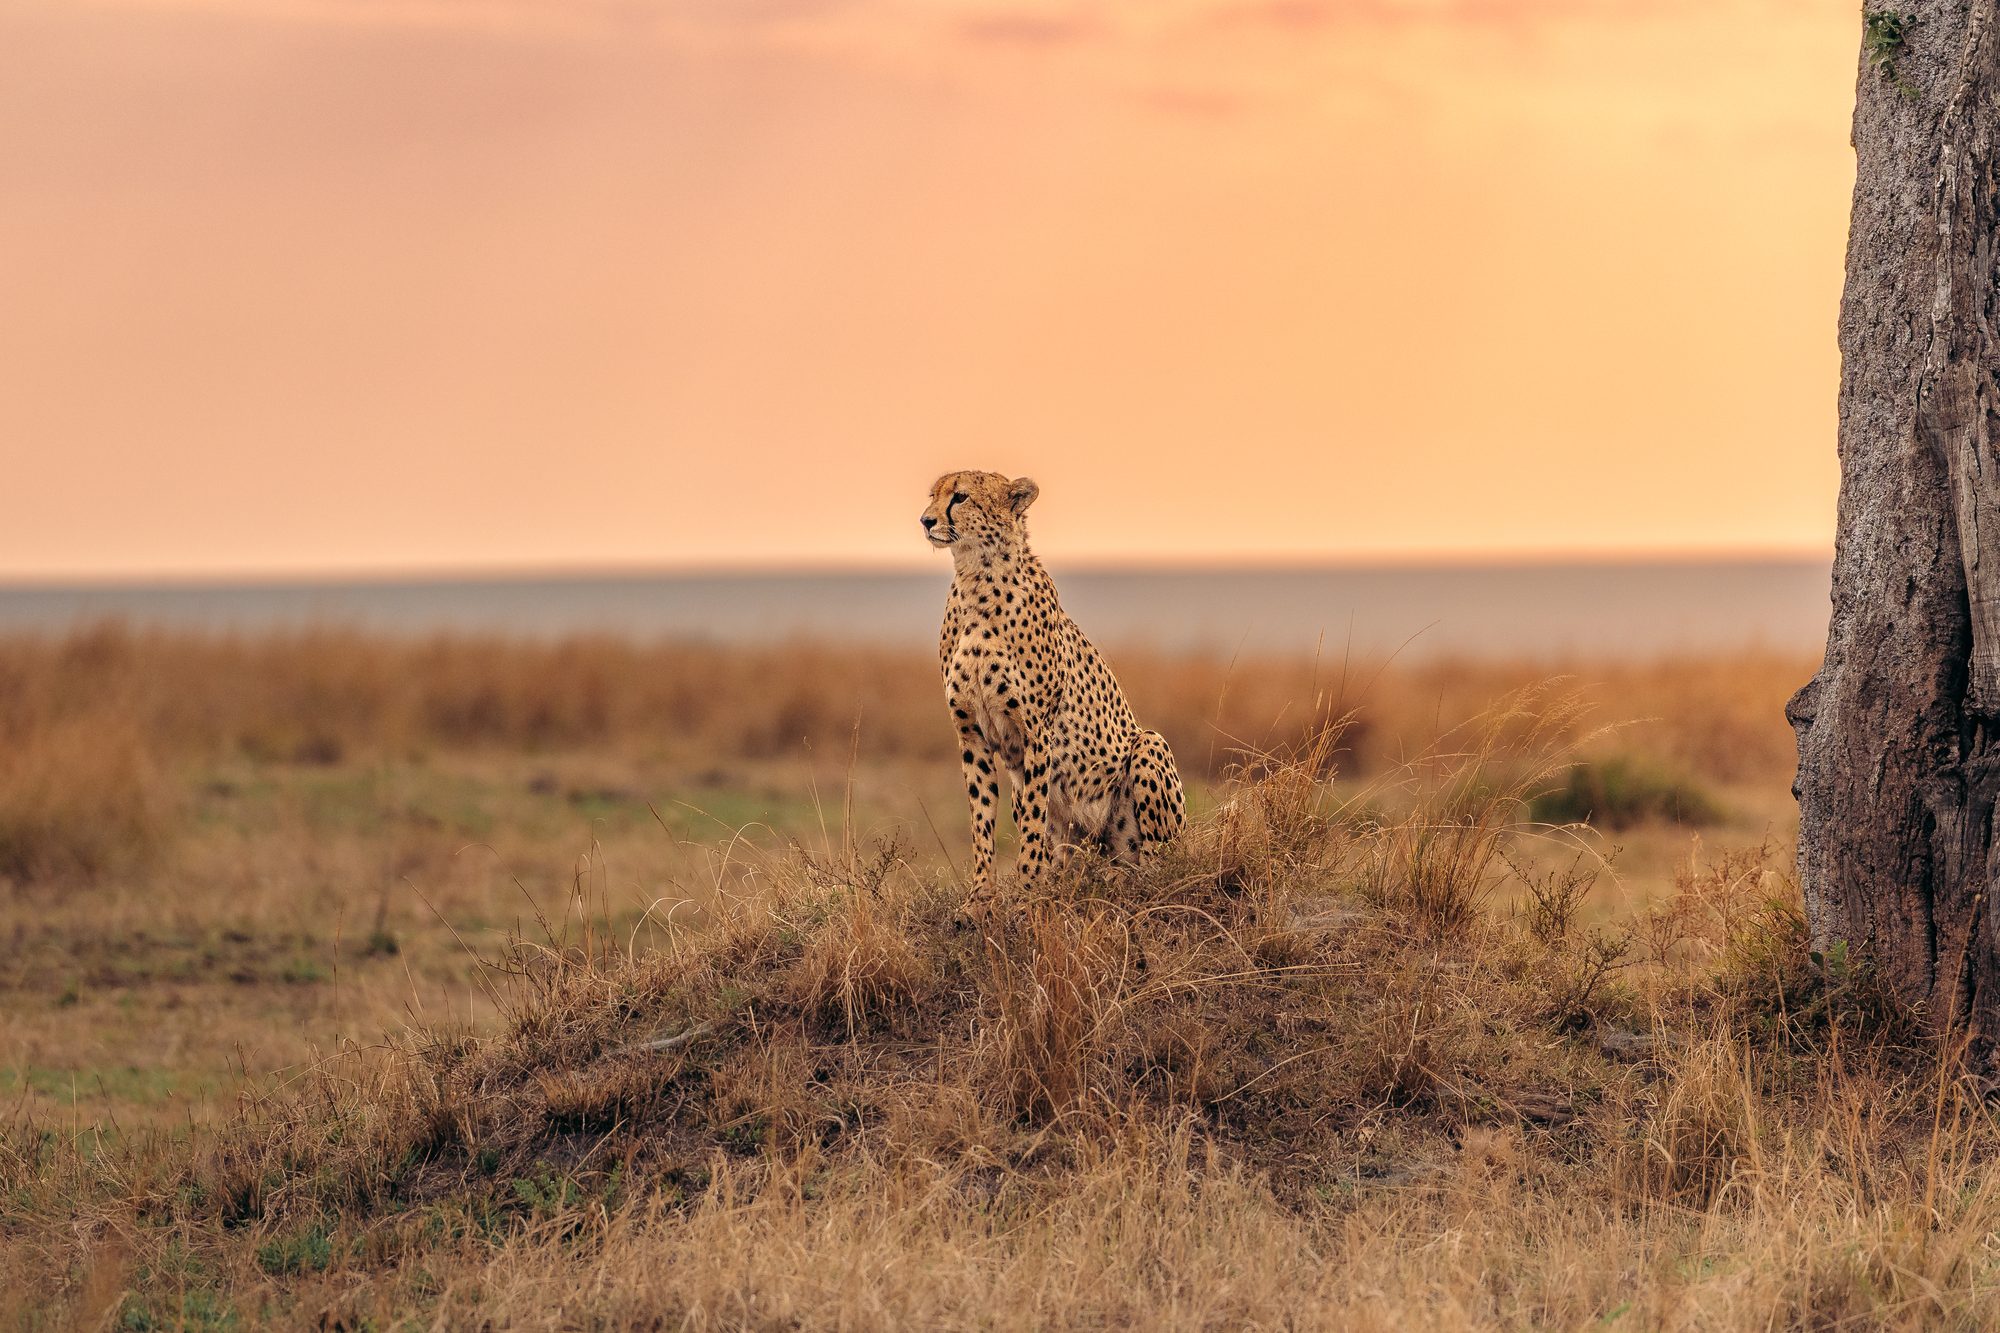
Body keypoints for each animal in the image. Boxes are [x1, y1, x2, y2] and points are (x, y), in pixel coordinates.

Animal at [921, 469, 1186, 916]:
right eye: (933, 495)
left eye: (960, 497)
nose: (926, 520)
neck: (976, 578)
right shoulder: (972, 736)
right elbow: (981, 821)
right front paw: (980, 899)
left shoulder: (1035, 735)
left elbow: (1033, 820)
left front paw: (1028, 891)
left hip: (1149, 749)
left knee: (1155, 863)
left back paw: (1132, 880)